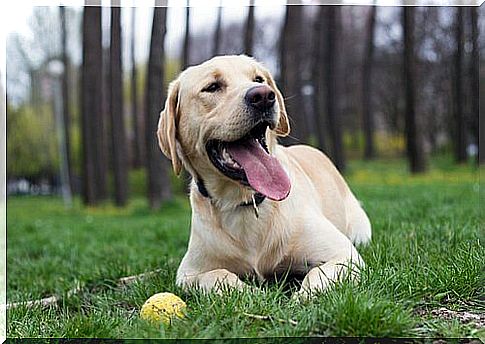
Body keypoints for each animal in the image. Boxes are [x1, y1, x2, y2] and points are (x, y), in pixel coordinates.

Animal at [157, 55, 368, 296]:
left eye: (258, 79)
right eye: (212, 87)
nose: (263, 96)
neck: (244, 201)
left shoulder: (345, 255)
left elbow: (317, 275)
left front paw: (301, 297)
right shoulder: (188, 273)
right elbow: (217, 275)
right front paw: (250, 293)